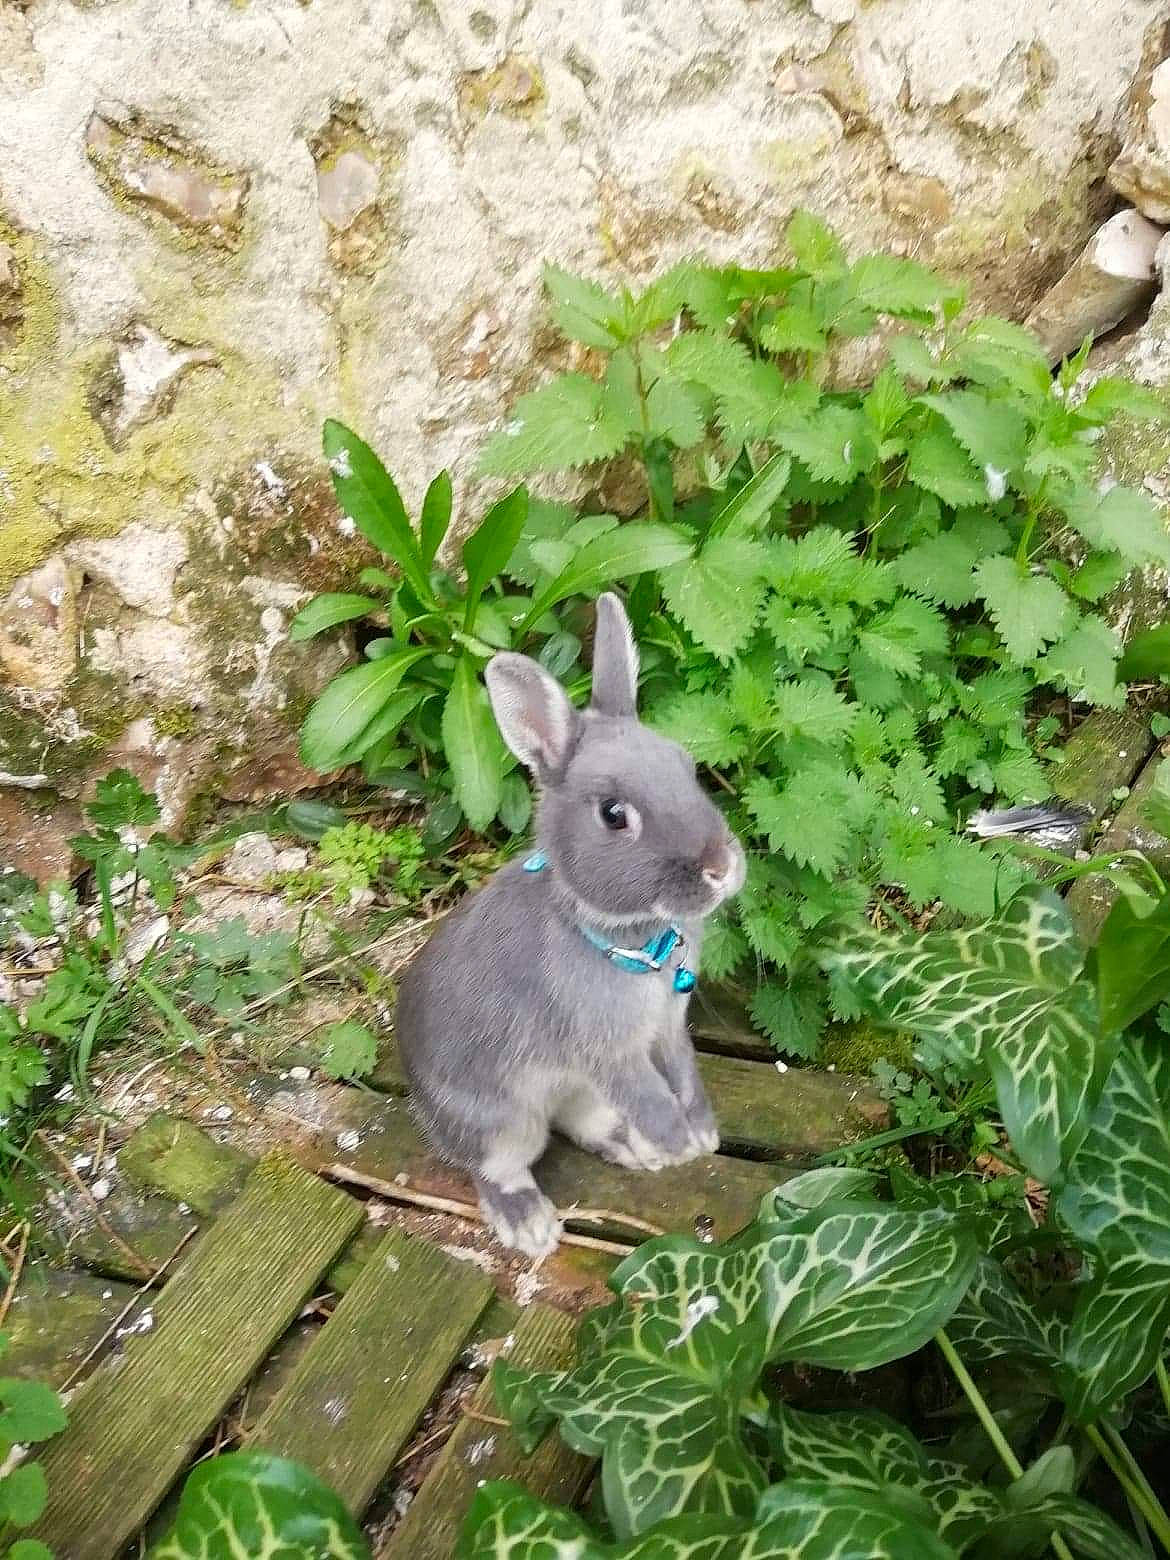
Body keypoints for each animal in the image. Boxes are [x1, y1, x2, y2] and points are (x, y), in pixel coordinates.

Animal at [395, 592, 746, 1259]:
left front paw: (703, 1133)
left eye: (687, 767)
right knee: (498, 1167)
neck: (629, 937)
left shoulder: (668, 1030)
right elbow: (649, 1094)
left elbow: (684, 1074)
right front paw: (679, 1144)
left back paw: (628, 1148)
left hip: (574, 1091)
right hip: (502, 1122)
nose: (720, 868)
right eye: (614, 815)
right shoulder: (610, 1052)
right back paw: (531, 1224)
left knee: (581, 1123)